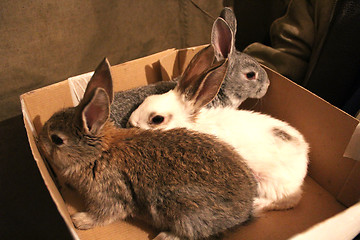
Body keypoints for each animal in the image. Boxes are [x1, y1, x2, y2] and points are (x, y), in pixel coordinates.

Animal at [38, 58, 258, 240]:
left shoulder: (110, 196)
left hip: (184, 212)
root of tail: (246, 210)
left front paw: (79, 220)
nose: (39, 140)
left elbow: (104, 214)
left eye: (57, 140)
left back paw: (163, 236)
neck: (98, 154)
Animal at [129, 57, 310, 214]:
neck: (193, 126)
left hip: (270, 183)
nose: (130, 122)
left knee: (288, 200)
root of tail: (304, 157)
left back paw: (257, 204)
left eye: (157, 119)